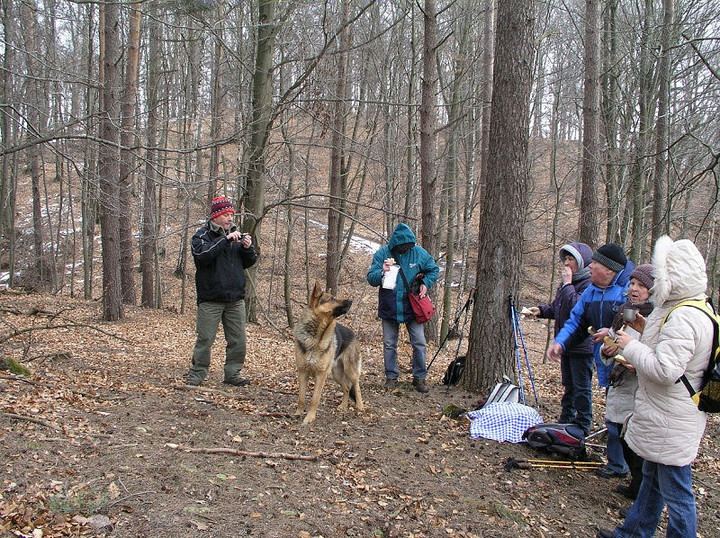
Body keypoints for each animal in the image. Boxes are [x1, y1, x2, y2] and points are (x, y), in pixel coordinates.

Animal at [292, 280, 362, 422]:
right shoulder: (302, 372)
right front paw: (298, 413)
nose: (351, 300)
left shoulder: (321, 375)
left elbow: (314, 399)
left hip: (349, 370)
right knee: (347, 388)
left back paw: (361, 406)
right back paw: (343, 406)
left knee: (356, 386)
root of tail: (353, 333)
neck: (316, 337)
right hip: (336, 374)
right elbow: (301, 397)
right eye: (332, 299)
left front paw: (309, 418)